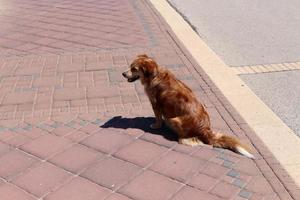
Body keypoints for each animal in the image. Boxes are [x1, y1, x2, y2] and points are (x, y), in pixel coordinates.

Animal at [122, 54, 253, 159]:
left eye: (134, 69)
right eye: (130, 66)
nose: (123, 73)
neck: (155, 75)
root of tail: (205, 130)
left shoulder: (155, 103)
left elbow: (158, 118)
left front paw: (156, 126)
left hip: (175, 120)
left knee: (188, 139)